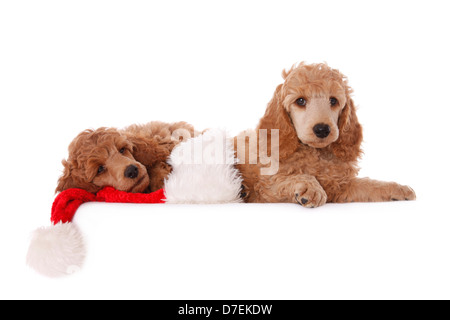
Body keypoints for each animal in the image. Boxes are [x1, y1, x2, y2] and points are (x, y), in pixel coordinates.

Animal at [237, 62, 416, 208]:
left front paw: (398, 189)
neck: (316, 153)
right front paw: (310, 187)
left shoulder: (341, 186)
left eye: (333, 101)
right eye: (300, 101)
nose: (322, 129)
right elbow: (292, 178)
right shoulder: (265, 189)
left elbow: (368, 184)